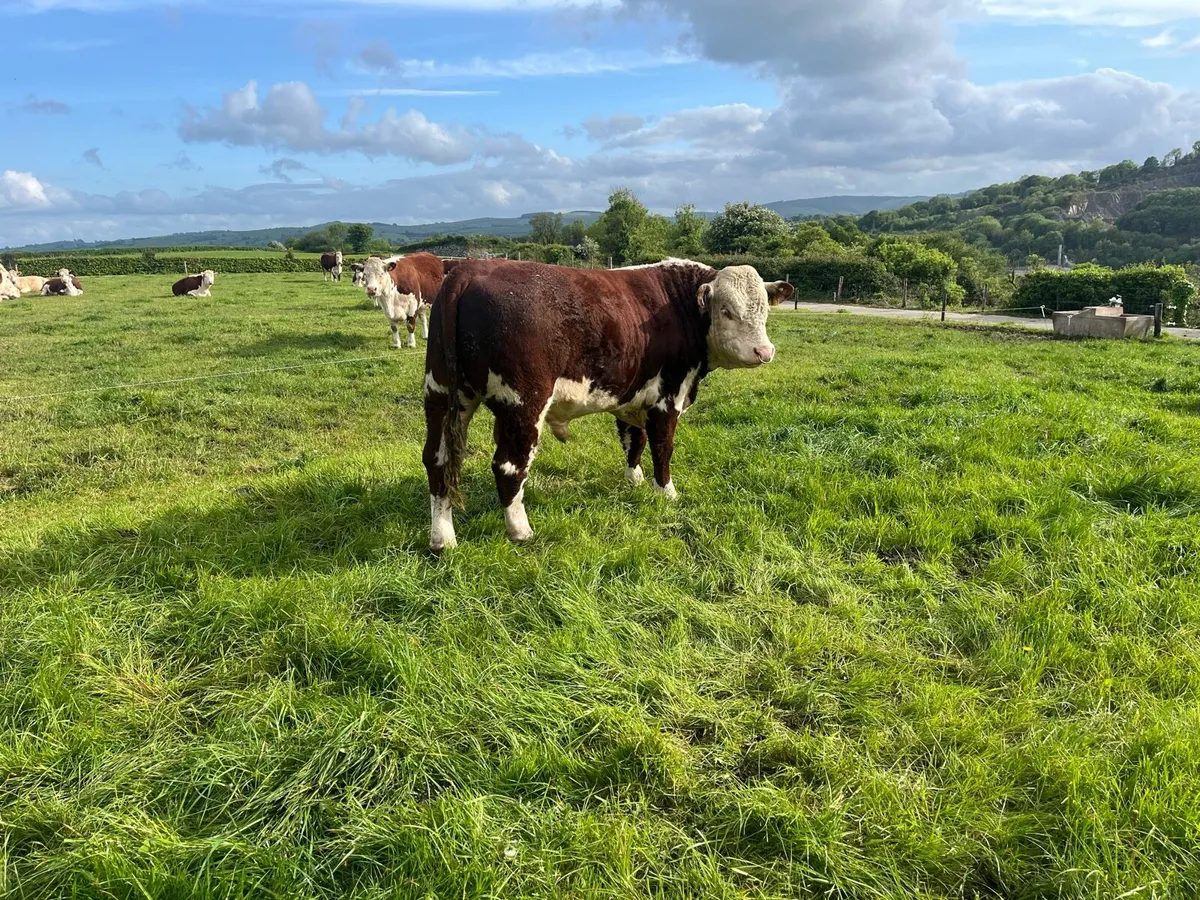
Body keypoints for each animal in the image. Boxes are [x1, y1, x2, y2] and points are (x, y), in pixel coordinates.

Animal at [422, 258, 794, 552]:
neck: (679, 306)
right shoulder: (668, 396)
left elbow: (634, 440)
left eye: (764, 310)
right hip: (523, 404)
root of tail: (469, 269)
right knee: (508, 466)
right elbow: (662, 447)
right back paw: (520, 531)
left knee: (437, 460)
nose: (764, 352)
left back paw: (443, 538)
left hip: (440, 394)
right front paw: (666, 492)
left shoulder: (632, 395)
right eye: (727, 311)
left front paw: (634, 480)